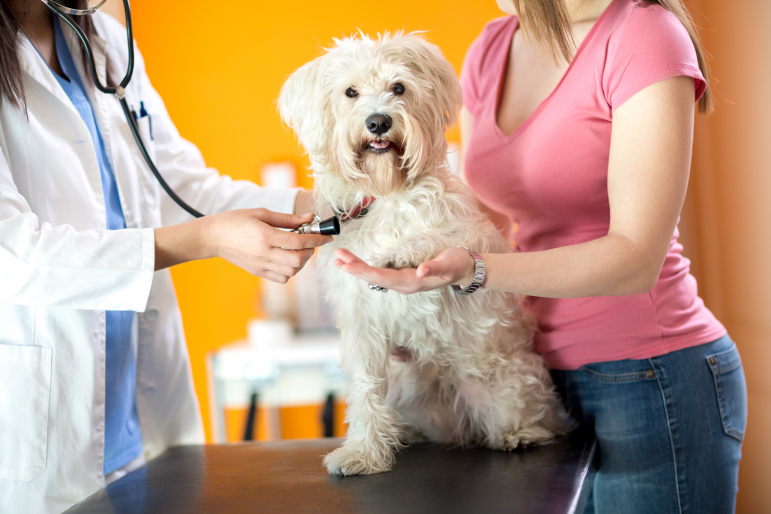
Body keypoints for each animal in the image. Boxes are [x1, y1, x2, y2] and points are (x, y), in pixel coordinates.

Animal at [278, 31, 568, 472]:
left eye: (398, 88)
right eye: (350, 92)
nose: (378, 121)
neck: (385, 194)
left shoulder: (470, 233)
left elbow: (436, 238)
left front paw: (400, 255)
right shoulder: (359, 317)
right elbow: (364, 386)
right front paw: (363, 451)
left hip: (502, 378)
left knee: (527, 413)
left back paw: (520, 433)